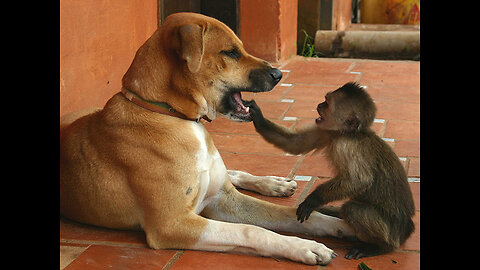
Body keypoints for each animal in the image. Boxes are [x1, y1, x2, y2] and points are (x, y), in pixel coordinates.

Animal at [60, 13, 354, 266]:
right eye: (230, 52)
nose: (278, 75)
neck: (173, 115)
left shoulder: (225, 202)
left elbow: (294, 215)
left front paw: (342, 225)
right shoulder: (173, 224)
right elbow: (251, 231)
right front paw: (304, 246)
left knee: (232, 172)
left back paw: (274, 184)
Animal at [246, 83, 414, 260]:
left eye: (326, 103)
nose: (319, 105)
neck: (346, 134)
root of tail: (406, 228)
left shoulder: (346, 145)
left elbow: (359, 181)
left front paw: (313, 199)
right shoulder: (326, 130)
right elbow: (295, 143)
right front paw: (257, 116)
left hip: (392, 229)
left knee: (352, 209)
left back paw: (379, 247)